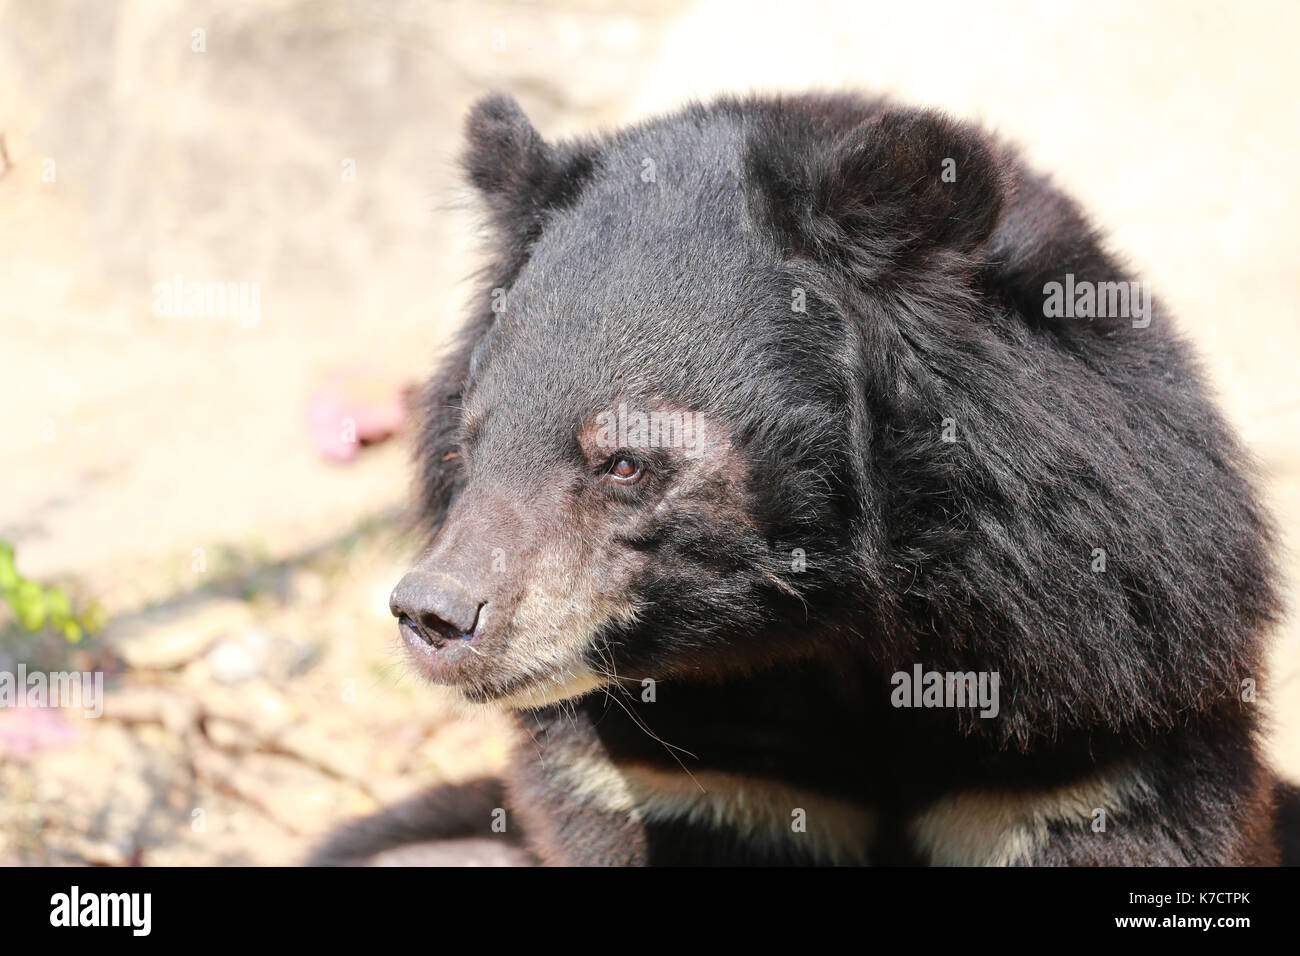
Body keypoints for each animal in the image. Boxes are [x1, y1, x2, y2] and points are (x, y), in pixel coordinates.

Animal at [309, 95, 1294, 868]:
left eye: (624, 460)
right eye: (470, 445)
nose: (435, 617)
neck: (823, 635)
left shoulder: (1092, 725)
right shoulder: (690, 779)